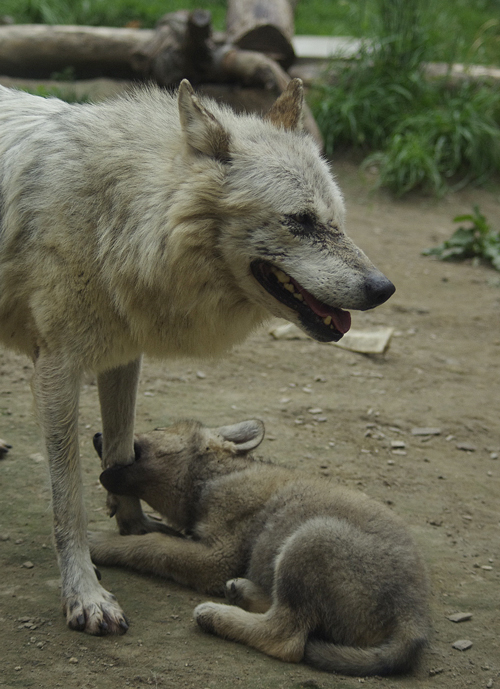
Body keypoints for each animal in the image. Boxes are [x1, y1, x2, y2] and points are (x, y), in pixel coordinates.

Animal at [0, 76, 394, 636]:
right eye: (298, 221)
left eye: (337, 221)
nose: (384, 289)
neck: (115, 214)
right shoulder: (57, 369)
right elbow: (67, 501)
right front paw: (85, 595)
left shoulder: (122, 357)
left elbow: (119, 451)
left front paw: (135, 527)